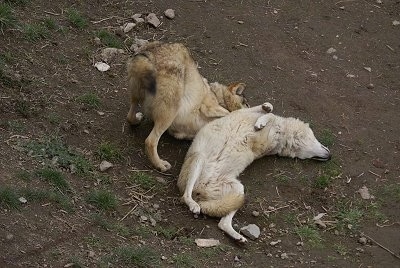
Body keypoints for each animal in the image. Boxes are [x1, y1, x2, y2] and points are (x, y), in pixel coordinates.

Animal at [126, 42, 248, 172]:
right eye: (247, 104)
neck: (218, 97)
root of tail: (148, 55)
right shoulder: (208, 107)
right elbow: (229, 113)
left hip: (136, 96)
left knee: (129, 116)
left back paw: (137, 119)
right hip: (171, 110)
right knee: (150, 141)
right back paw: (160, 164)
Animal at [178, 101, 332, 242]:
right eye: (316, 139)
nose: (330, 157)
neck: (281, 135)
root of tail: (200, 194)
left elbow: (270, 115)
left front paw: (263, 118)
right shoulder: (244, 112)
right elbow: (269, 111)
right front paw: (264, 115)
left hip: (239, 190)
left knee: (221, 223)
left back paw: (237, 236)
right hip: (199, 159)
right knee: (186, 195)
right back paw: (194, 205)